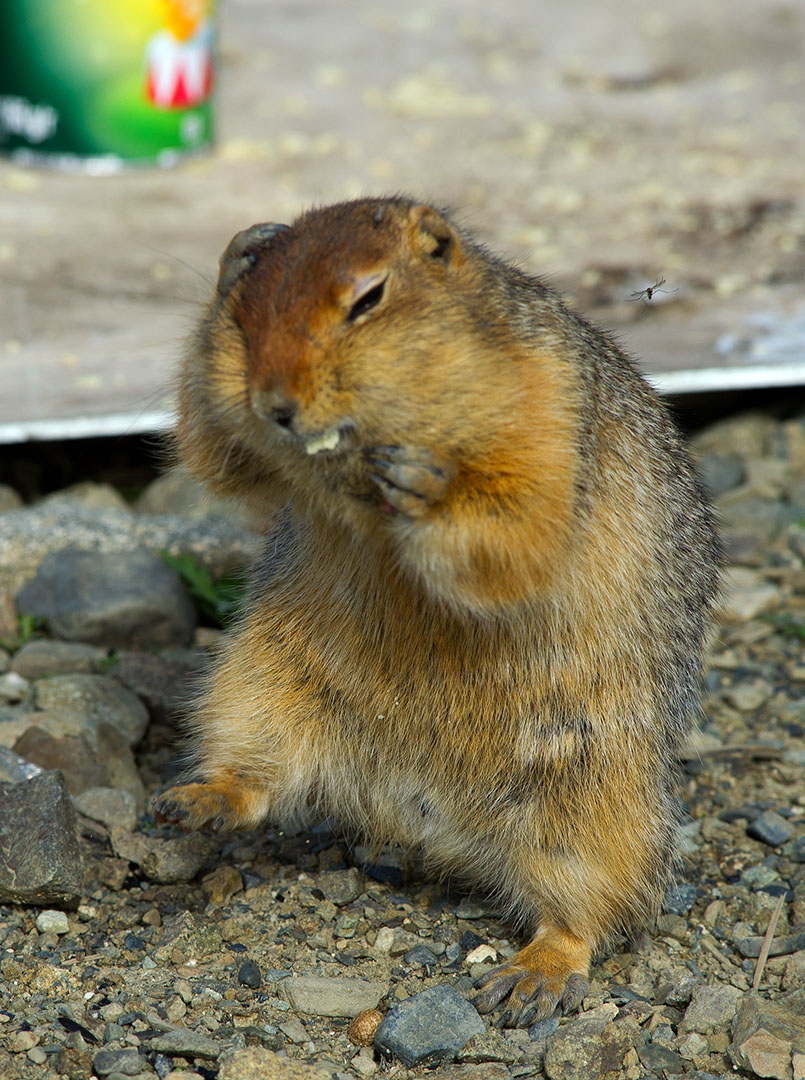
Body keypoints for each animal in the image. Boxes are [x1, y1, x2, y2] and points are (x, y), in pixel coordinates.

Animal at [153, 196, 717, 1028]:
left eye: (368, 298)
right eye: (245, 317)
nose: (276, 403)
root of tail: (424, 823)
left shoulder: (546, 405)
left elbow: (521, 518)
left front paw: (425, 485)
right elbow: (217, 449)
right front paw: (237, 251)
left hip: (595, 794)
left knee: (590, 907)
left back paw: (532, 977)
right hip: (254, 683)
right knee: (256, 777)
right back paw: (199, 801)